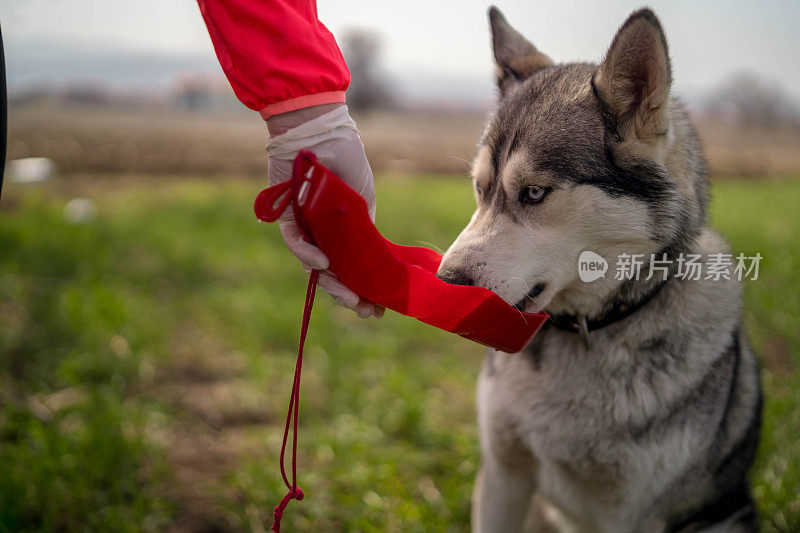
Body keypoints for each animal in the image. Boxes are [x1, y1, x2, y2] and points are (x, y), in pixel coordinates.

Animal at [438, 8, 764, 532]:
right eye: (479, 188)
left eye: (534, 193)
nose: (444, 283)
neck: (589, 328)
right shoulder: (503, 475)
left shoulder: (630, 513)